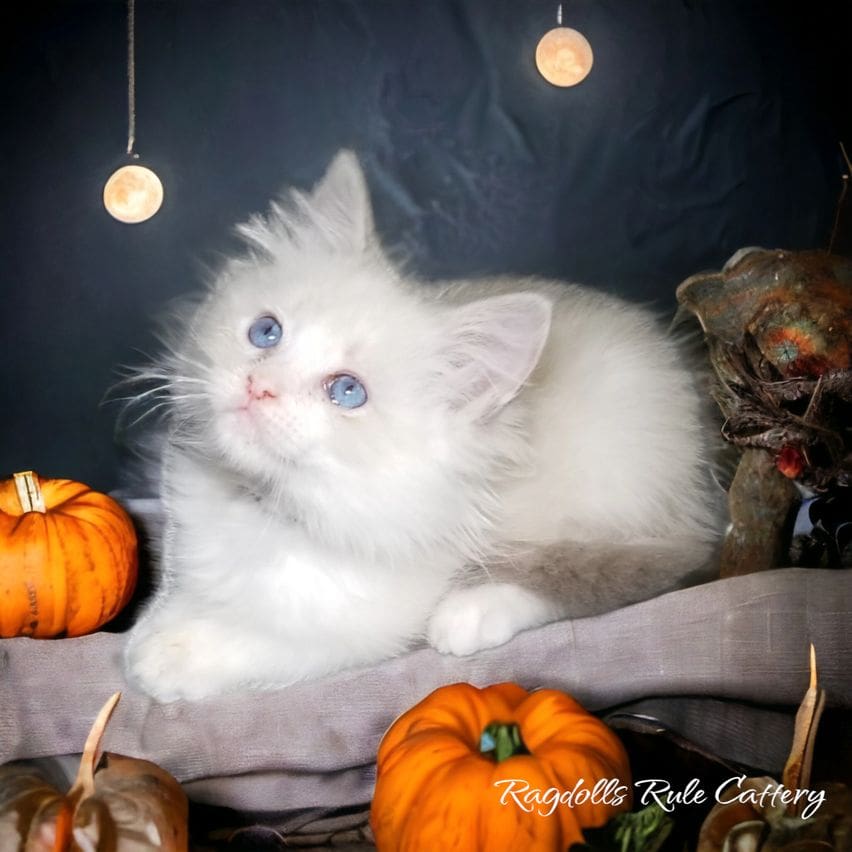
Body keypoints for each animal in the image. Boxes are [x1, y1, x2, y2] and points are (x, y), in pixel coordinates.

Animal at [125, 150, 724, 704]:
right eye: (266, 332)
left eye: (348, 392)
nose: (258, 387)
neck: (267, 503)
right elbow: (175, 594)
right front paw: (153, 630)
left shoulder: (365, 622)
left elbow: (269, 642)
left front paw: (171, 655)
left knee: (629, 572)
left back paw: (471, 612)